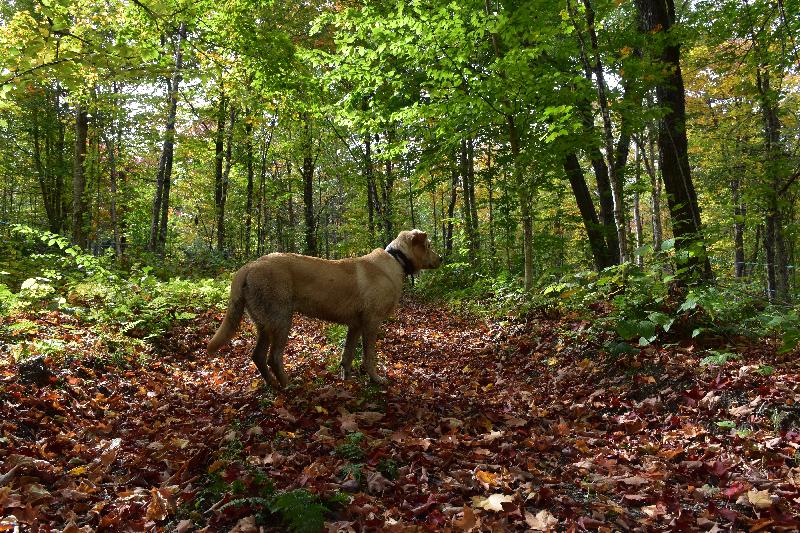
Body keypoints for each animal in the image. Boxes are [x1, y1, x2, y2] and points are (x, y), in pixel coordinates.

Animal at [206, 229, 444, 386]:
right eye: (429, 246)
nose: (441, 258)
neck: (396, 260)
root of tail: (248, 266)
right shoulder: (371, 322)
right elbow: (369, 356)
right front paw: (376, 379)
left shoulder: (355, 325)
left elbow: (347, 355)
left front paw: (346, 379)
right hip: (281, 319)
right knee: (274, 357)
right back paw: (288, 385)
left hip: (264, 323)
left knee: (258, 356)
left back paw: (273, 385)